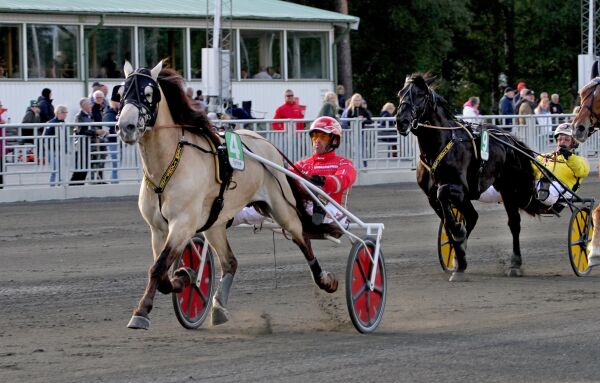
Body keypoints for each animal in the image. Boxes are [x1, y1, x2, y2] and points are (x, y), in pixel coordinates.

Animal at [116, 60, 338, 330]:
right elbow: (162, 271)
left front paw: (141, 312)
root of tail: (265, 143)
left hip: (281, 207)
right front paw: (184, 277)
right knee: (230, 261)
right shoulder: (158, 229)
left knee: (302, 237)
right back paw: (218, 306)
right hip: (216, 224)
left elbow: (158, 268)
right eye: (121, 93)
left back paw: (326, 280)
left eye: (149, 94)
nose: (125, 127)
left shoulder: (182, 224)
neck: (167, 166)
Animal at [394, 73, 544, 282]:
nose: (401, 121)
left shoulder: (458, 188)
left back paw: (515, 264)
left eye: (420, 95)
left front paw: (459, 236)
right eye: (400, 94)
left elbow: (445, 197)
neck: (439, 146)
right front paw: (459, 258)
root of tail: (509, 139)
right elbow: (449, 221)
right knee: (473, 216)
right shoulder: (433, 197)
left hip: (508, 189)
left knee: (514, 224)